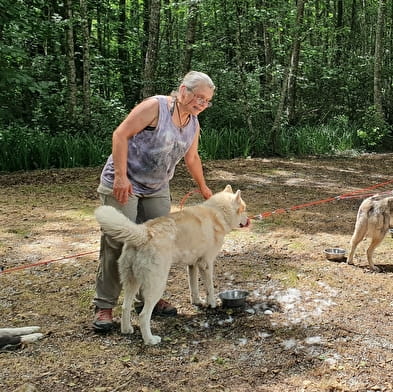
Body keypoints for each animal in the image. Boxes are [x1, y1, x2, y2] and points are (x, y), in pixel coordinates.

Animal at [95, 185, 247, 344]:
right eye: (244, 209)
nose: (248, 220)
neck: (217, 213)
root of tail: (144, 233)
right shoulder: (206, 264)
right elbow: (210, 288)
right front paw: (212, 303)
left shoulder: (192, 265)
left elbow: (194, 287)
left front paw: (197, 301)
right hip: (157, 285)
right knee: (143, 315)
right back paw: (150, 340)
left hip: (132, 281)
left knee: (125, 306)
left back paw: (126, 330)